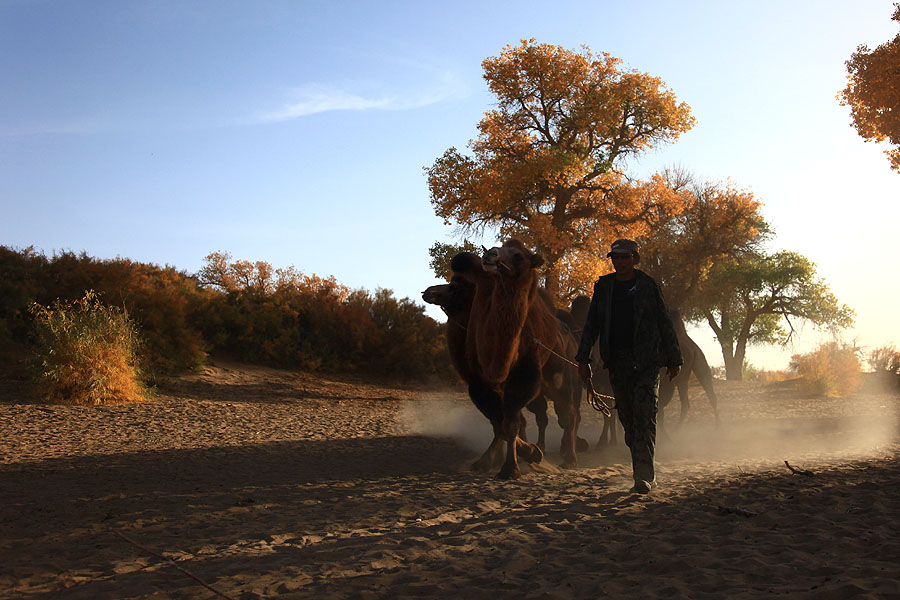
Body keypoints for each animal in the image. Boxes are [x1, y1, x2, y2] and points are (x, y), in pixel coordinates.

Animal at [450, 239, 584, 478]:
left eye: (519, 256)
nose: (490, 254)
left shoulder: (524, 373)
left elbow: (510, 422)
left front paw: (511, 468)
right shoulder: (480, 382)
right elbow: (500, 421)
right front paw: (513, 457)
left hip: (561, 372)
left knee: (568, 414)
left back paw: (570, 459)